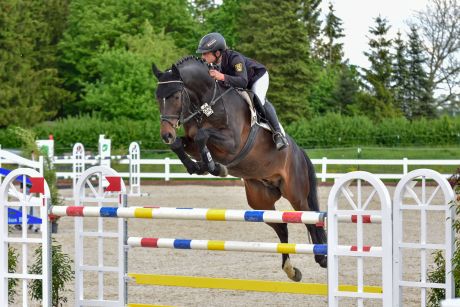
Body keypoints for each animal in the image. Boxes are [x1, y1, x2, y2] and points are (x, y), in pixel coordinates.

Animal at [153, 55, 326, 282]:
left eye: (174, 96)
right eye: (158, 98)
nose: (166, 134)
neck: (207, 102)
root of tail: (299, 152)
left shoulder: (232, 143)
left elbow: (202, 136)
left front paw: (215, 167)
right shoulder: (191, 142)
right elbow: (181, 144)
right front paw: (198, 167)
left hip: (295, 193)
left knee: (310, 218)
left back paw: (322, 257)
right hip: (259, 199)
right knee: (281, 226)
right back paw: (291, 270)